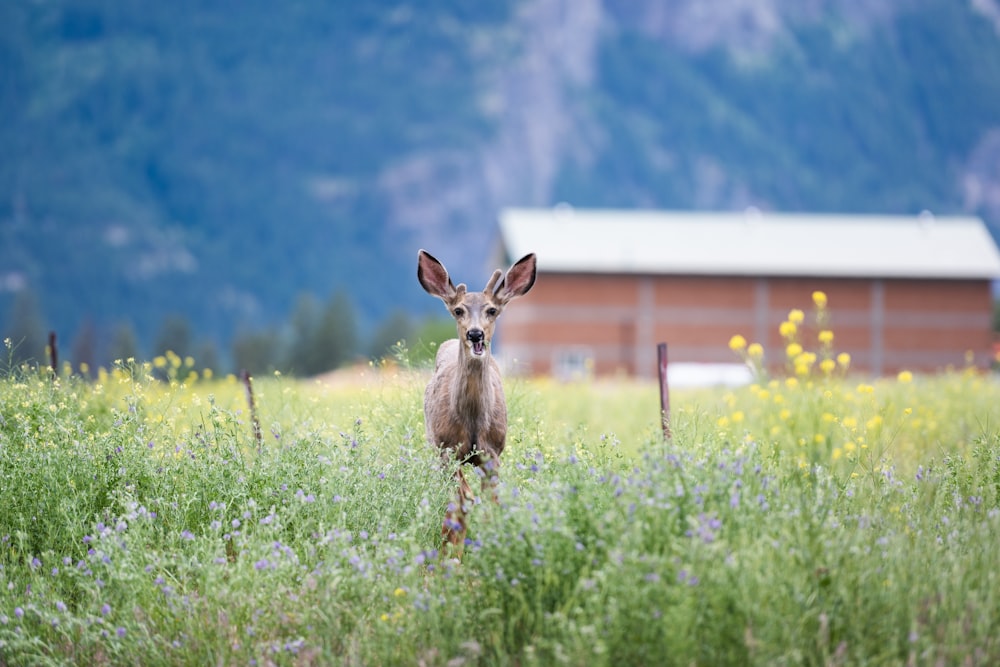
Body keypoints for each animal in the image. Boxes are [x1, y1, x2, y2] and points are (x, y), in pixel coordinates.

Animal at [416, 248, 536, 552]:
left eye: (492, 310)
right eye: (458, 310)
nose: (475, 333)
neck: (471, 421)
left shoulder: (492, 453)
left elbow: (492, 505)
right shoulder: (446, 450)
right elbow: (459, 502)